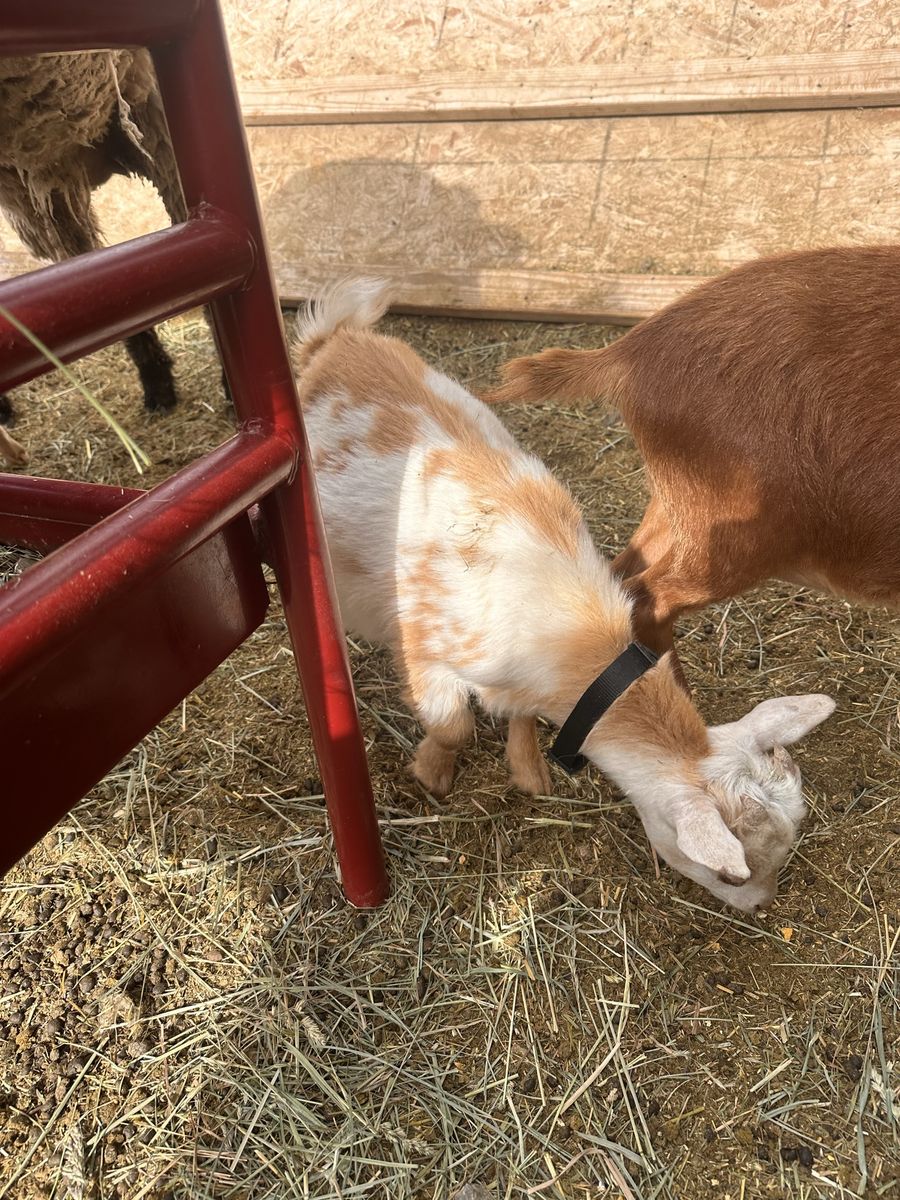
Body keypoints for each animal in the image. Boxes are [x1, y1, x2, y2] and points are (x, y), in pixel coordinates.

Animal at [291, 278, 834, 912]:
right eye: (730, 875)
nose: (763, 904)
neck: (567, 635)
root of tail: (336, 339)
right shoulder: (428, 650)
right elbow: (452, 726)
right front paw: (432, 775)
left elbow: (520, 718)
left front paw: (528, 773)